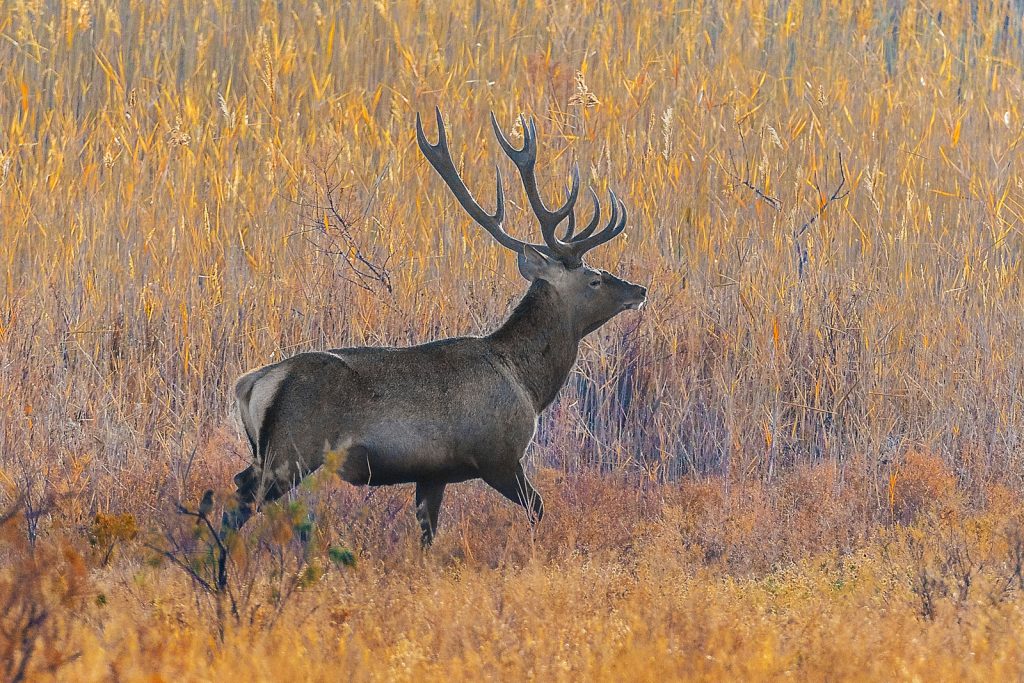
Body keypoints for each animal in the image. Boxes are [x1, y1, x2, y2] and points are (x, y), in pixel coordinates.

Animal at [220, 111, 643, 544]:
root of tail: (251, 383)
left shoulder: (433, 473)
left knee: (235, 485)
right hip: (291, 450)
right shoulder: (499, 454)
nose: (638, 289)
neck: (527, 383)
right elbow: (537, 508)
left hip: (269, 453)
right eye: (595, 279)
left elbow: (428, 533)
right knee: (238, 506)